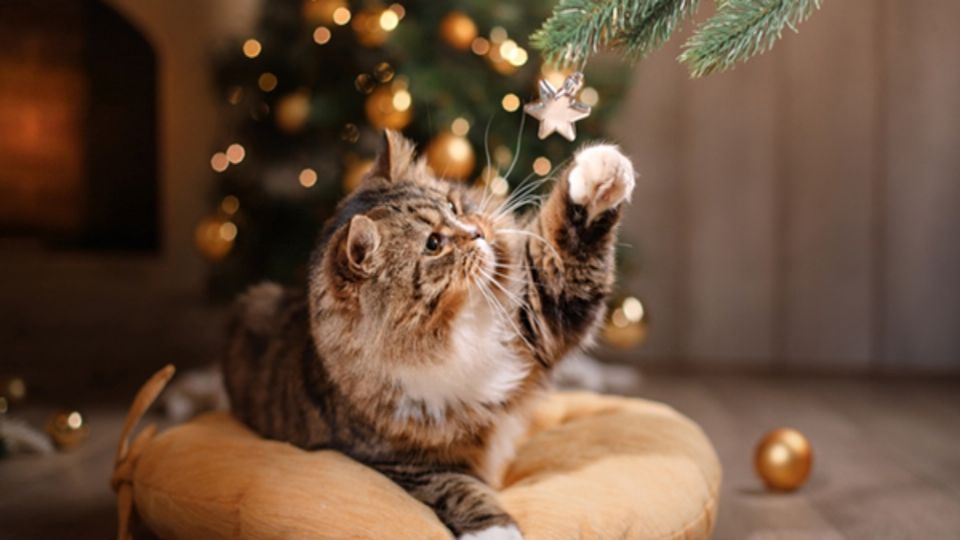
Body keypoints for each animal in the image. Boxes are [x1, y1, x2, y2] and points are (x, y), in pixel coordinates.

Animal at [221, 131, 632, 540]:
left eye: (453, 204)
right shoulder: (403, 465)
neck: (455, 332)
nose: (478, 231)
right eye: (433, 244)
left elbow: (566, 249)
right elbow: (459, 490)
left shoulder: (535, 314)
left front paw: (600, 171)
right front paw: (497, 532)